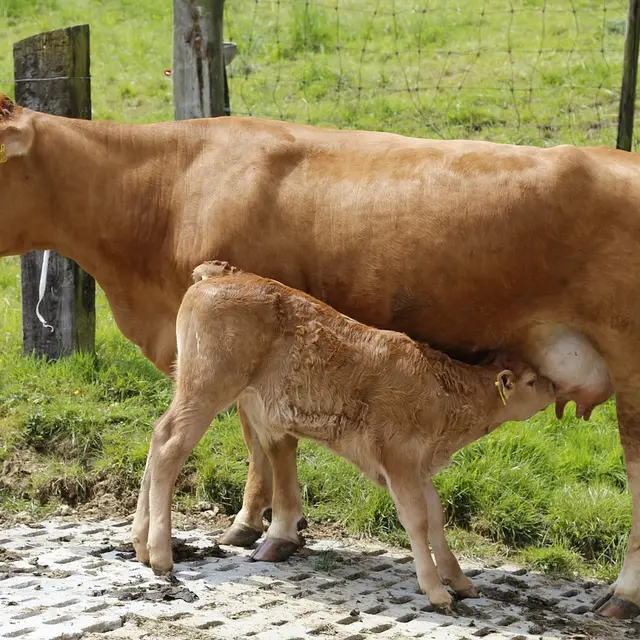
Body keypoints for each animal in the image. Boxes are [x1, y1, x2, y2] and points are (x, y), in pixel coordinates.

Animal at [140, 260, 556, 610]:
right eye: (531, 381)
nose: (554, 387)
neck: (443, 395)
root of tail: (222, 274)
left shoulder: (421, 465)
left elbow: (437, 518)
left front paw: (460, 581)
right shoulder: (400, 460)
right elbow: (417, 520)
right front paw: (437, 591)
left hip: (192, 385)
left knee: (158, 435)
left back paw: (140, 544)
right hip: (208, 385)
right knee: (171, 445)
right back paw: (160, 555)